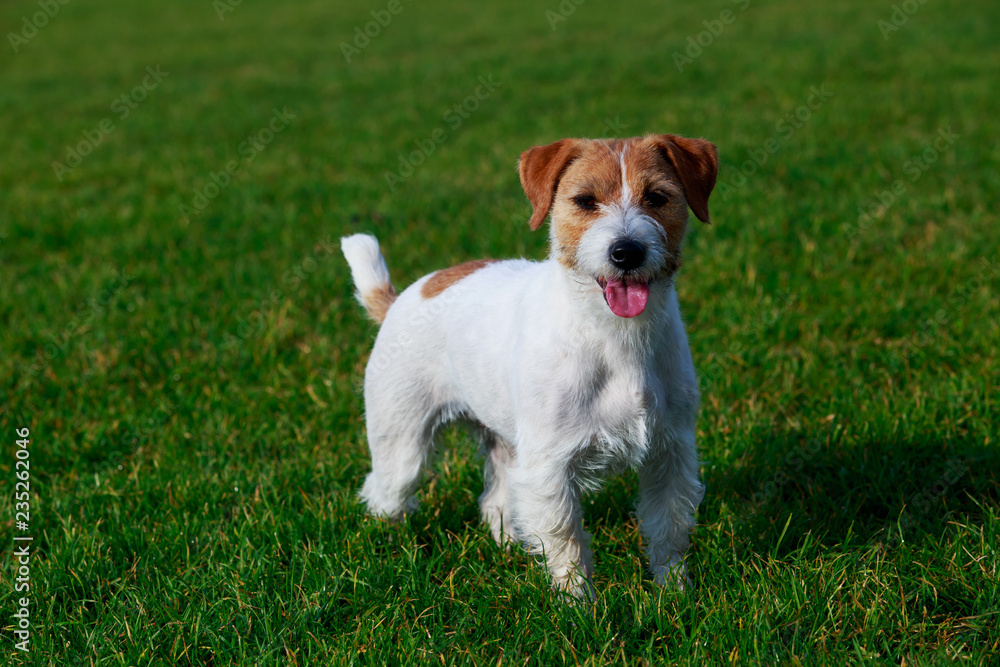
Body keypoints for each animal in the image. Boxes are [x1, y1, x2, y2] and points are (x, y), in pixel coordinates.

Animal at [344, 133, 720, 596]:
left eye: (657, 197)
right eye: (584, 201)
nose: (626, 252)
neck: (613, 336)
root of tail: (402, 297)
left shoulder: (670, 454)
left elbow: (669, 527)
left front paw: (675, 593)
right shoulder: (549, 466)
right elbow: (566, 537)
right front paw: (578, 602)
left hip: (506, 443)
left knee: (496, 501)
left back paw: (511, 547)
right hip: (402, 442)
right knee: (385, 493)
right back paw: (388, 546)